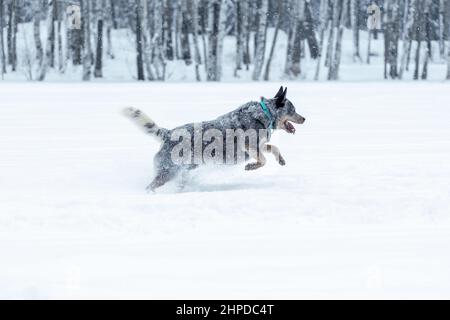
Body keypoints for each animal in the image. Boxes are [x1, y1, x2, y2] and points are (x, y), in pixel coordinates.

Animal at [123, 86, 306, 191]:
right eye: (293, 109)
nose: (304, 118)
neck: (265, 113)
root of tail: (168, 133)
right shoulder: (250, 146)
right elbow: (263, 160)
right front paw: (251, 166)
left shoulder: (259, 145)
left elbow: (274, 148)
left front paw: (281, 159)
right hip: (169, 172)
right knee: (150, 187)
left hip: (185, 169)